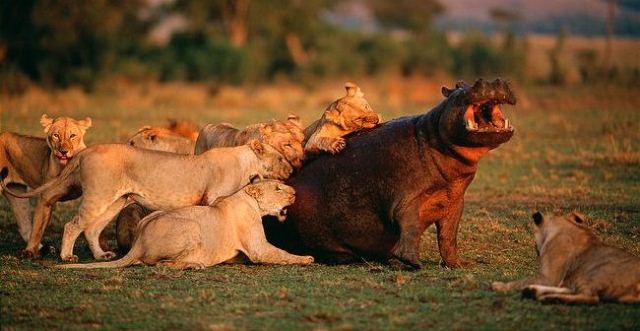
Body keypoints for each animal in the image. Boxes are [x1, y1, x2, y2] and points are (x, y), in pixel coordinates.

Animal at [0, 114, 92, 246]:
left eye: (72, 136)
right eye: (56, 135)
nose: (63, 152)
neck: (65, 165)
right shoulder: (45, 200)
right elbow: (36, 231)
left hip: (17, 193)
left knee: (24, 227)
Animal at [0, 140, 292, 262]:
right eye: (280, 158)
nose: (292, 169)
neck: (246, 163)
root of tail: (86, 150)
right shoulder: (212, 197)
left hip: (116, 200)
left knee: (92, 228)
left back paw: (102, 255)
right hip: (98, 195)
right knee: (73, 225)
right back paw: (67, 257)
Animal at [58, 182, 314, 270]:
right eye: (278, 188)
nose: (294, 192)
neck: (247, 198)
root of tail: (138, 243)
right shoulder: (259, 249)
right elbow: (281, 254)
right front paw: (307, 258)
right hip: (192, 227)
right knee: (160, 264)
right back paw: (195, 264)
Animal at [492, 213, 640, 306]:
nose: (536, 249)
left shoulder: (549, 277)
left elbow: (521, 281)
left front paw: (501, 286)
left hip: (592, 272)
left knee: (591, 298)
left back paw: (548, 298)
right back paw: (533, 292)